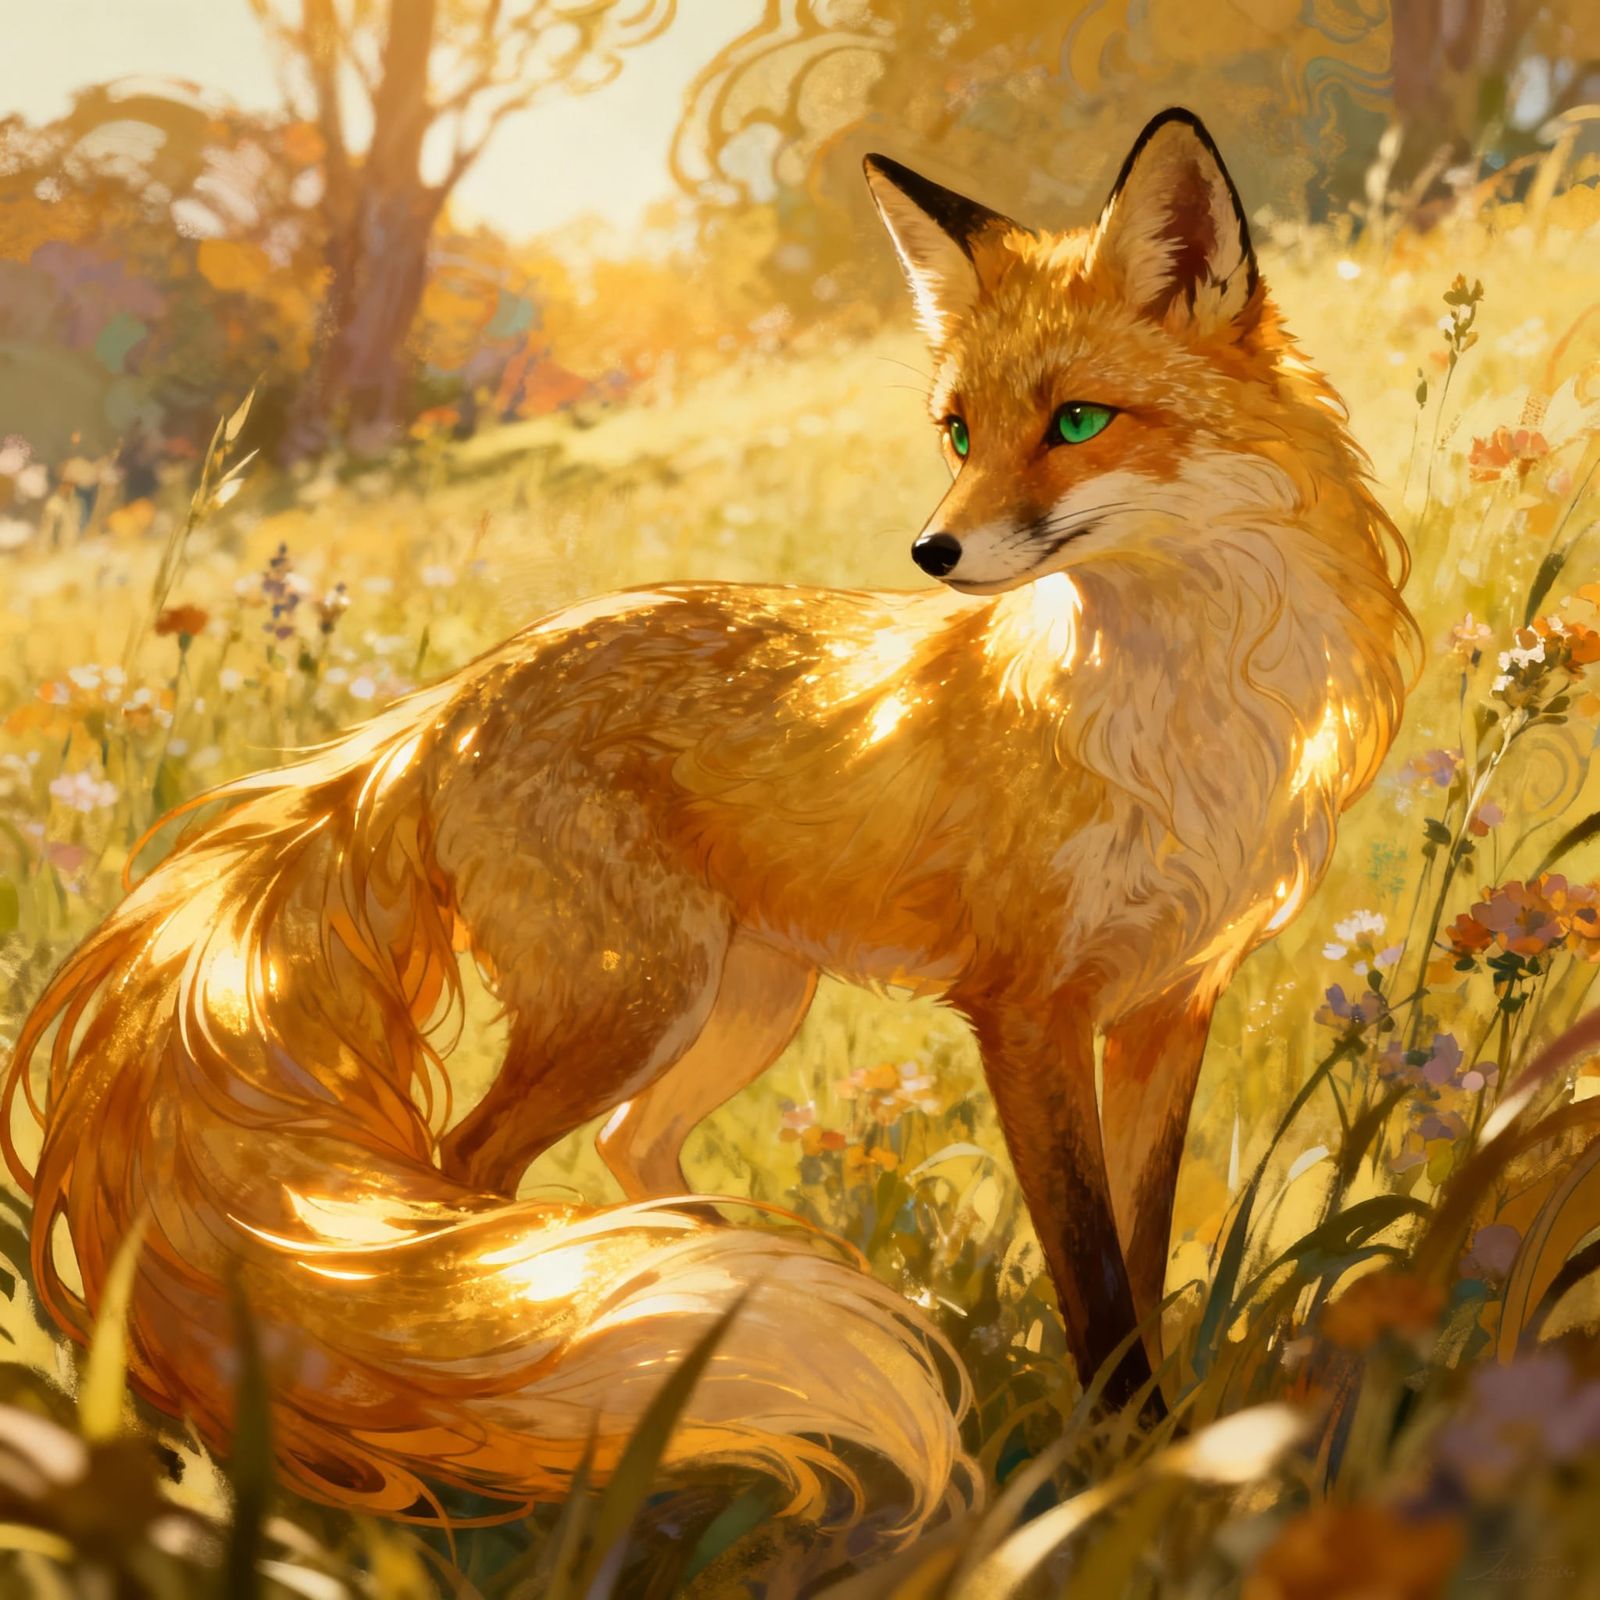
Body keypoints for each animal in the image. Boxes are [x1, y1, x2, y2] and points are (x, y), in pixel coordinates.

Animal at [3, 109, 1412, 1538]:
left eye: (1077, 420)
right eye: (959, 431)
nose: (932, 554)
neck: (1184, 715)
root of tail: (454, 699)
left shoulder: (1170, 1002)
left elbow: (1137, 1240)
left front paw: (1172, 1442)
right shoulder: (1026, 1011)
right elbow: (1088, 1273)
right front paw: (1126, 1461)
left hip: (741, 1000)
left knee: (628, 1143)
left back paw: (677, 1326)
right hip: (632, 1000)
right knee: (468, 1168)